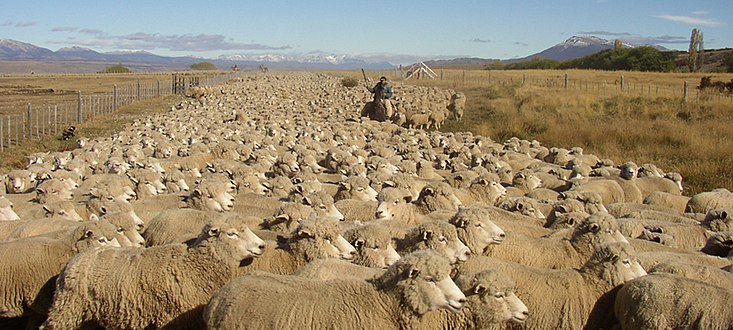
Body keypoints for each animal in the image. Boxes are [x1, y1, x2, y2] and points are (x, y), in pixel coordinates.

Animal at [42, 217, 266, 330]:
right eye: (232, 234)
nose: (262, 245)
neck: (192, 265)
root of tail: (75, 259)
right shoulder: (174, 317)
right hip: (68, 307)